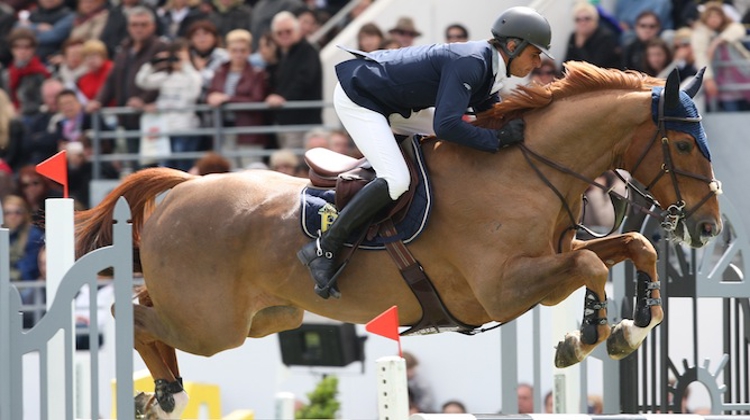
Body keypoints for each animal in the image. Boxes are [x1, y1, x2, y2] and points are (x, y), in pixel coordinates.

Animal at [75, 61, 724, 416]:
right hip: (214, 326)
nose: (709, 226)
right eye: (684, 143)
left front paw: (633, 325)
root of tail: (185, 186)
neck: (522, 168)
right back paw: (165, 393)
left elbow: (632, 248)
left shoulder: (552, 258)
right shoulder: (505, 289)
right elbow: (593, 268)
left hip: (264, 317)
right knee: (130, 312)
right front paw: (585, 336)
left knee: (146, 308)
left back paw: (162, 394)